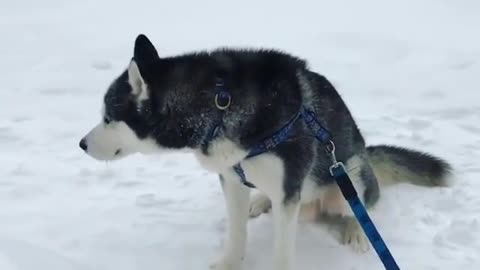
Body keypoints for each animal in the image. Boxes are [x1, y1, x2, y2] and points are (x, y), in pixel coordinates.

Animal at [79, 34, 450, 268]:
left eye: (108, 117)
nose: (81, 144)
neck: (220, 104)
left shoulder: (288, 193)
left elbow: (282, 252)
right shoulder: (231, 179)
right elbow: (236, 234)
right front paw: (228, 264)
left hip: (351, 173)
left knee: (360, 206)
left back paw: (357, 232)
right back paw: (259, 201)